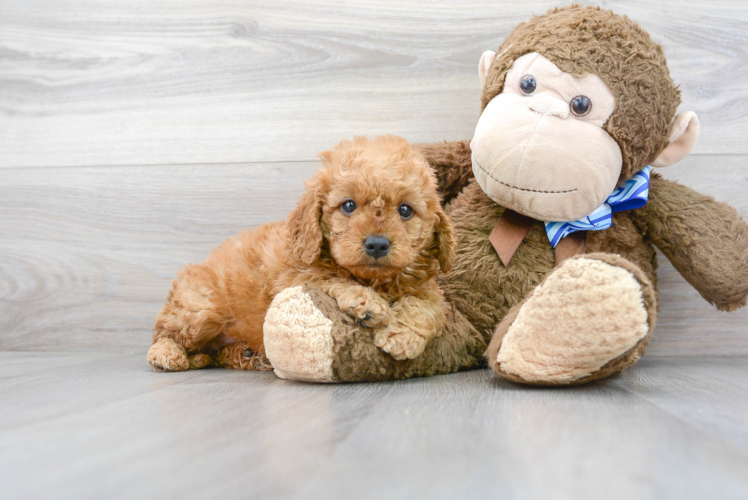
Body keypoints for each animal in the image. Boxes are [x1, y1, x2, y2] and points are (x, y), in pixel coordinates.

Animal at [147, 136, 456, 372]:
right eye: (348, 205)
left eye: (405, 210)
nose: (377, 244)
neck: (375, 280)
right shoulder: (293, 277)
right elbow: (329, 278)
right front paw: (366, 302)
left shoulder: (428, 290)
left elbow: (427, 307)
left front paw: (401, 334)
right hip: (200, 309)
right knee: (164, 331)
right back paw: (166, 354)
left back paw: (246, 354)